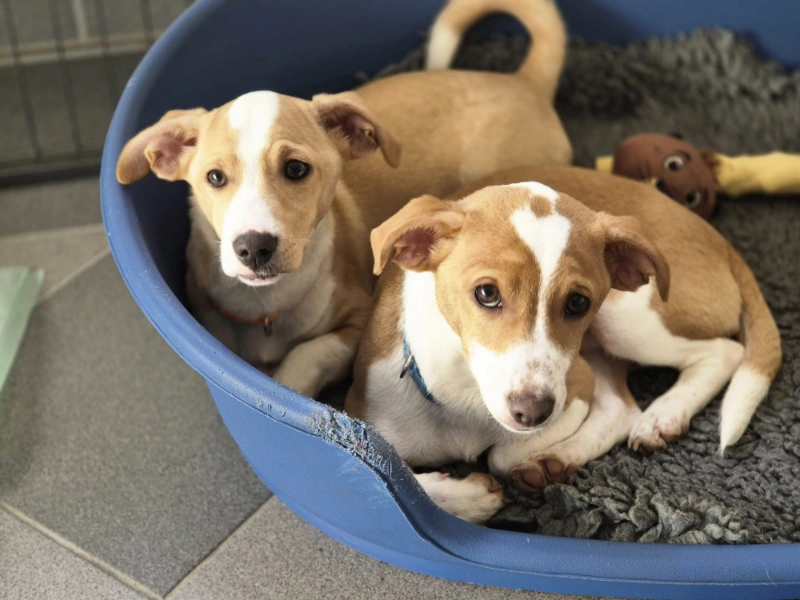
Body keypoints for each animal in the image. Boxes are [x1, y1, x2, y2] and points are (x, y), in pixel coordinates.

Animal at [115, 0, 571, 398]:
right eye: (214, 177)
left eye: (296, 169)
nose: (254, 248)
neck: (266, 305)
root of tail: (523, 82)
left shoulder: (356, 322)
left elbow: (306, 354)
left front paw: (285, 390)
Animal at [346, 166, 780, 523]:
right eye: (486, 293)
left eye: (577, 303)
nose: (532, 412)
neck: (463, 395)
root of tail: (718, 238)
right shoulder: (363, 428)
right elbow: (395, 479)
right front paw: (470, 496)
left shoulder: (575, 385)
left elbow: (499, 456)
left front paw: (492, 481)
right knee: (622, 407)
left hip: (627, 321)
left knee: (724, 352)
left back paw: (661, 416)